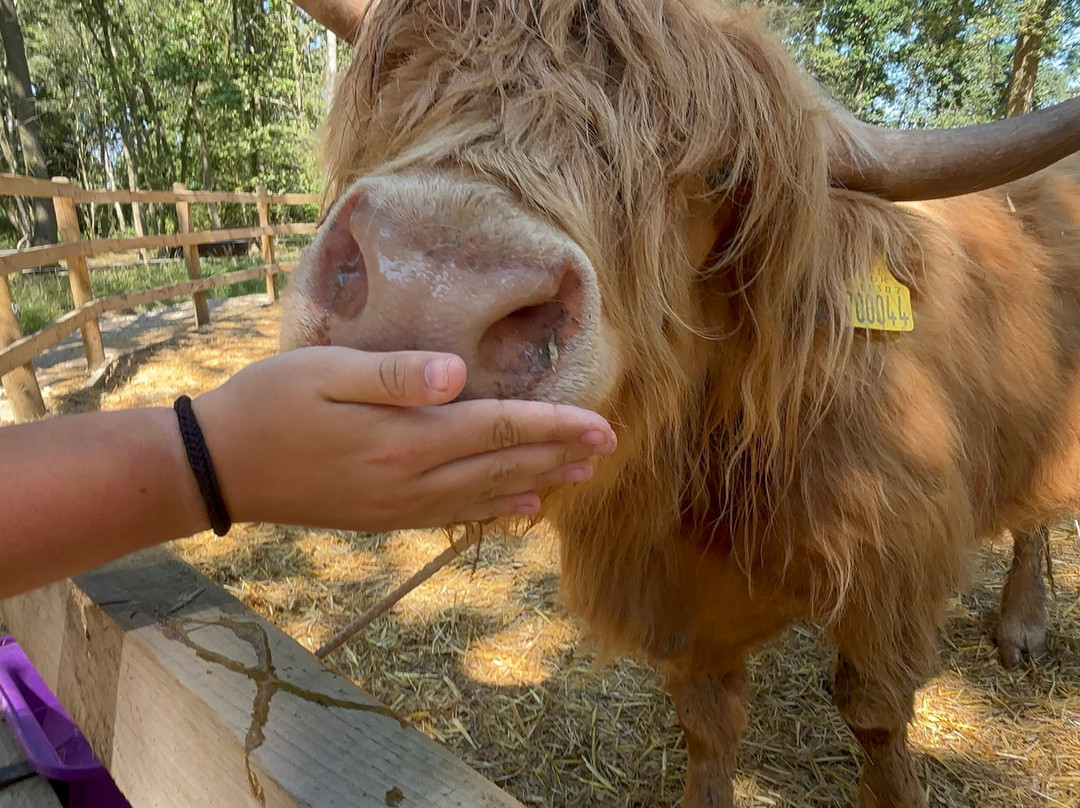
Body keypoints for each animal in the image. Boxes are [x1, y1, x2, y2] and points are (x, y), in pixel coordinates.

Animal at [284, 1, 1080, 805]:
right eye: (402, 68)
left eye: (719, 171)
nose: (431, 290)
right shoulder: (681, 605)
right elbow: (708, 722)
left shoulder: (895, 573)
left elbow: (876, 716)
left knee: (1036, 515)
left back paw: (1021, 627)